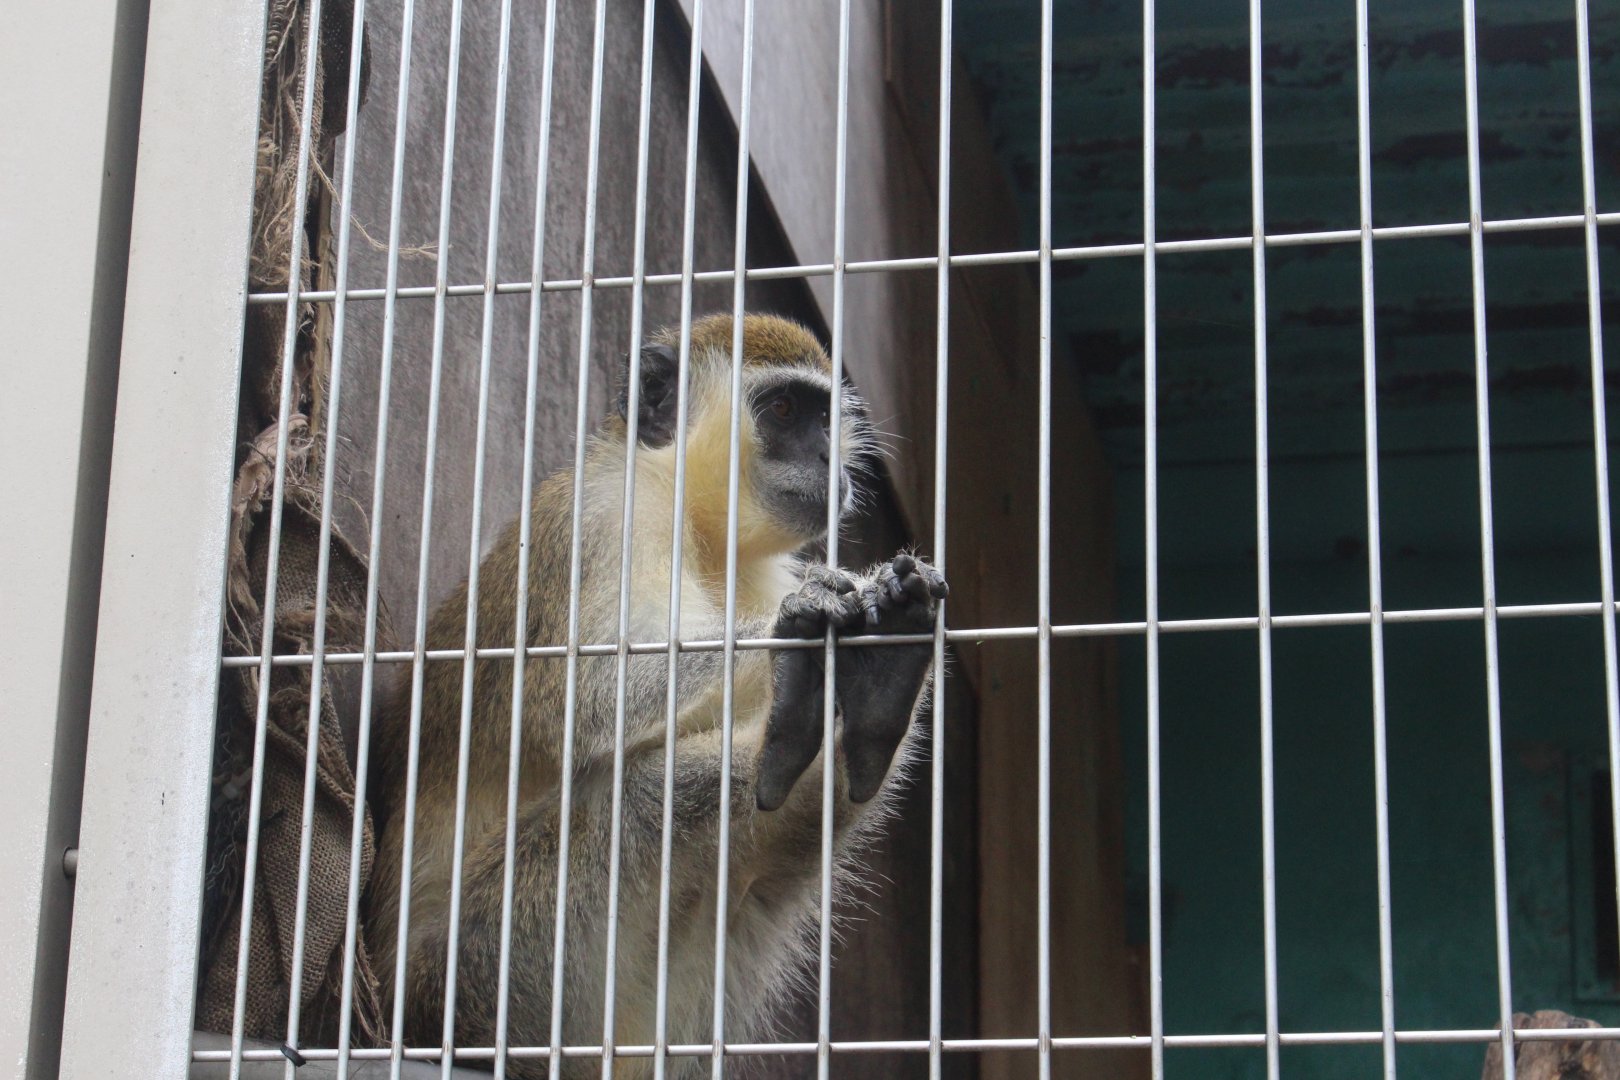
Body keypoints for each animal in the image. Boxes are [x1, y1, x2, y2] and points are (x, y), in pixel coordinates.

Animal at [365, 313, 947, 1077]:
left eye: (826, 419)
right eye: (784, 411)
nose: (833, 462)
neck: (692, 517)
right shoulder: (608, 518)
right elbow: (588, 696)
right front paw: (803, 620)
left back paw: (880, 687)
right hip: (485, 970)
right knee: (643, 797)